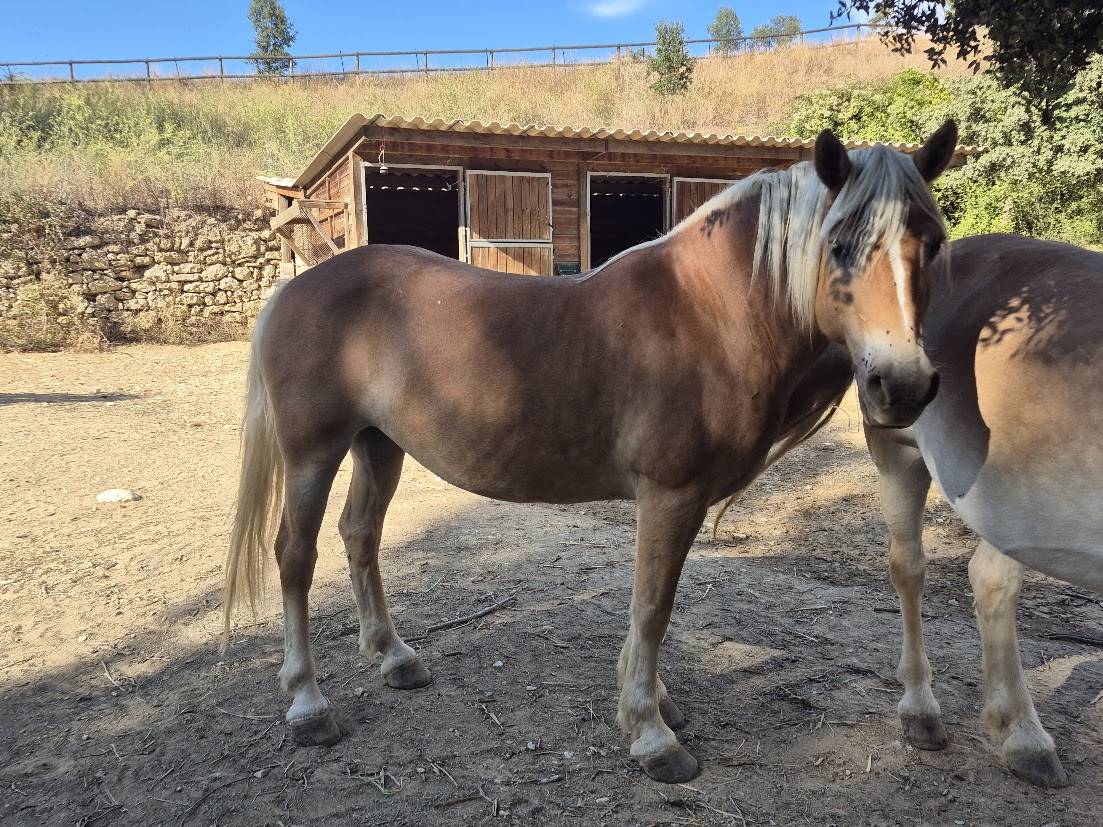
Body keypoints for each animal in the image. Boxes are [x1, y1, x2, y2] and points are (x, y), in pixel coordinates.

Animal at [223, 122, 958, 783]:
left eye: (933, 243)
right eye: (839, 245)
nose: (902, 385)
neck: (705, 314)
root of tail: (298, 286)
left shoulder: (674, 501)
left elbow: (651, 605)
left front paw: (651, 703)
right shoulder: (670, 495)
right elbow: (653, 606)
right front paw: (651, 734)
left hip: (379, 446)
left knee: (360, 535)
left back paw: (394, 656)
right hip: (313, 451)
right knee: (295, 555)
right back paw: (308, 702)